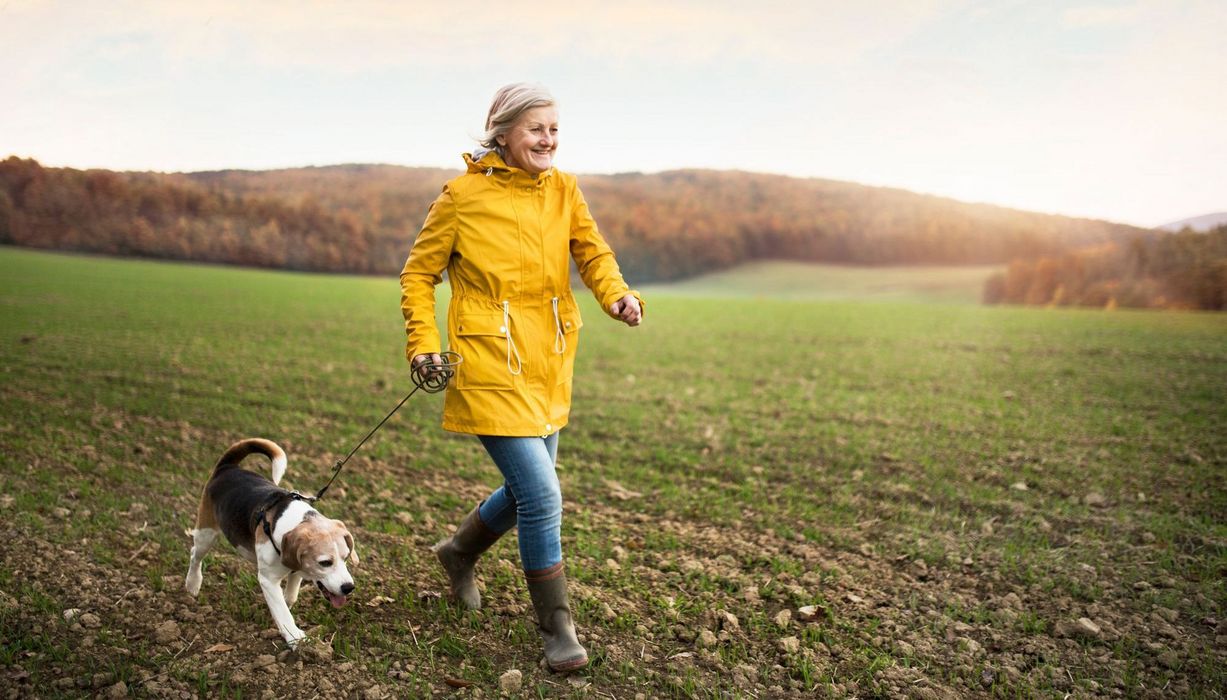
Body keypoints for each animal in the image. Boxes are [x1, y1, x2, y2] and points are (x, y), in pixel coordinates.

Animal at [182, 439, 358, 643]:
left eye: (346, 558)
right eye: (325, 562)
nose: (349, 588)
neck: (295, 521)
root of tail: (227, 467)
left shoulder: (296, 569)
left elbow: (289, 596)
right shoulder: (268, 580)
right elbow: (282, 611)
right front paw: (295, 638)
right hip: (207, 533)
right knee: (195, 554)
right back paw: (192, 584)